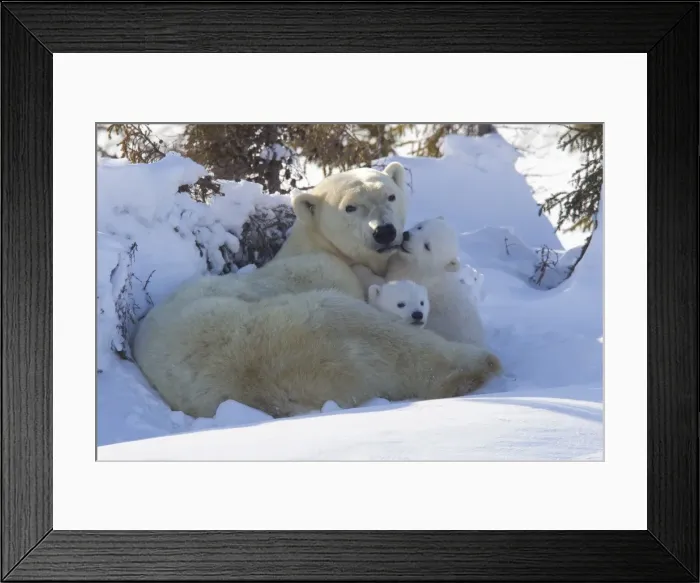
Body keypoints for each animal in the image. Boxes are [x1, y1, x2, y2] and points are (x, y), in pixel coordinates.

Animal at [132, 164, 502, 419]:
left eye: (390, 195)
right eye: (351, 207)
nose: (384, 231)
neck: (313, 244)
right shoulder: (323, 269)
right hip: (301, 329)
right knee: (387, 341)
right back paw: (477, 364)